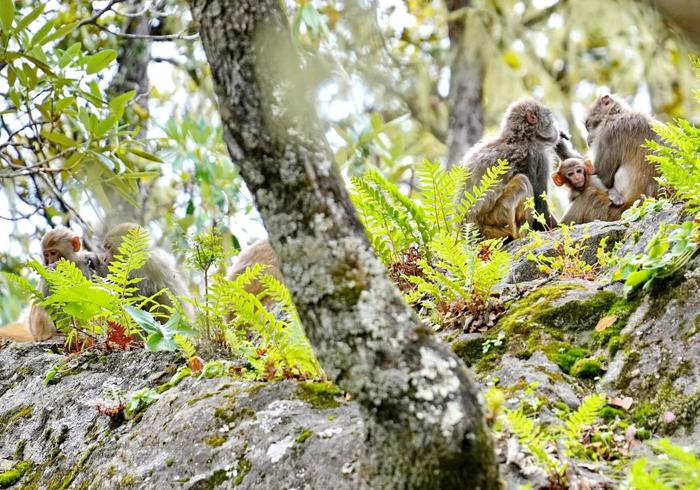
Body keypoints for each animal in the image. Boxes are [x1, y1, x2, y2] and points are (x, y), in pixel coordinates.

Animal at [460, 98, 568, 239]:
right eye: (550, 118)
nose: (555, 128)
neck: (519, 137)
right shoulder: (537, 156)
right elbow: (541, 209)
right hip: (497, 220)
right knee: (522, 181)